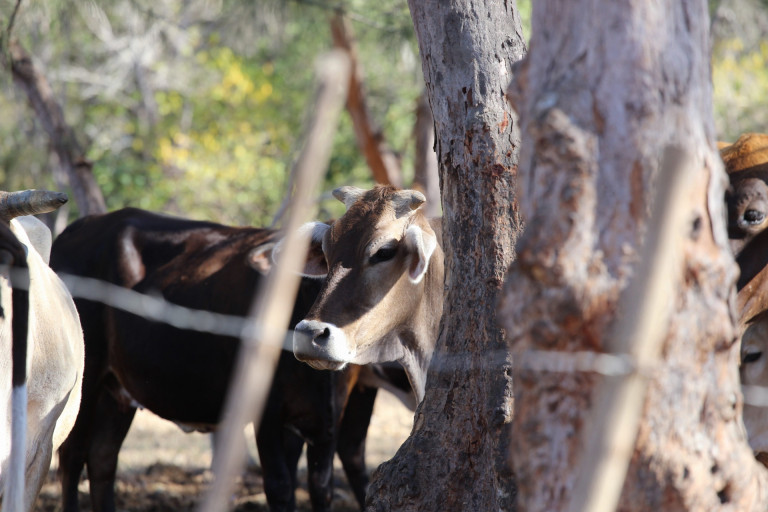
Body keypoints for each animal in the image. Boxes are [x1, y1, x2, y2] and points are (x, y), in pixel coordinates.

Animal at [49, 207, 407, 512]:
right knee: (72, 454)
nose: (320, 329)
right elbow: (279, 486)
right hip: (86, 379)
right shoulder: (267, 414)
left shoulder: (329, 416)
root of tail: (82, 226)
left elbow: (321, 487)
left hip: (117, 390)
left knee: (103, 458)